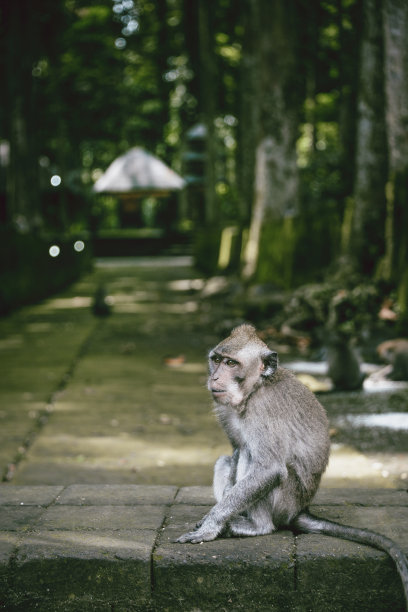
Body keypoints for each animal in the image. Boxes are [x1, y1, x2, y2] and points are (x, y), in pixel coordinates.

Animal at [178, 328, 408, 604]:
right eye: (217, 359)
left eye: (231, 363)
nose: (215, 376)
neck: (254, 390)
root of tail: (301, 509)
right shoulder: (224, 408)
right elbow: (235, 451)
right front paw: (217, 516)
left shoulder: (265, 409)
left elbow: (269, 469)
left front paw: (212, 525)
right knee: (231, 457)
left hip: (286, 500)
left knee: (256, 460)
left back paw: (258, 527)